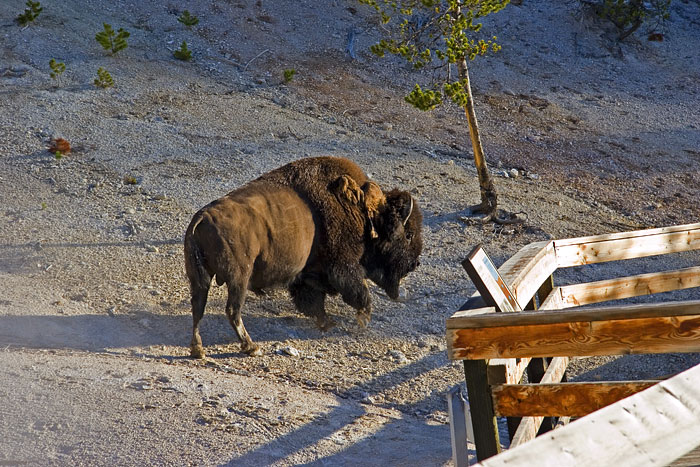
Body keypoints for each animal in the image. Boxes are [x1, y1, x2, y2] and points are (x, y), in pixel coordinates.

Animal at [183, 157, 422, 358]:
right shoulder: (343, 267)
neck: (364, 212)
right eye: (408, 234)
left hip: (200, 279)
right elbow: (358, 293)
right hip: (238, 278)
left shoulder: (306, 277)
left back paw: (198, 350)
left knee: (198, 307)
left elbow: (312, 302)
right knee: (232, 310)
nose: (415, 263)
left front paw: (328, 323)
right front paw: (362, 320)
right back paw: (251, 347)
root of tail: (201, 218)